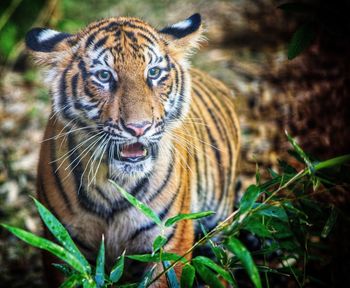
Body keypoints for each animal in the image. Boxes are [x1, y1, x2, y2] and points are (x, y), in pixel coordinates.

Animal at [26, 12, 241, 286]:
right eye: (104, 76)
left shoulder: (169, 242)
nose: (139, 128)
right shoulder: (63, 245)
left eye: (154, 72)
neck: (112, 182)